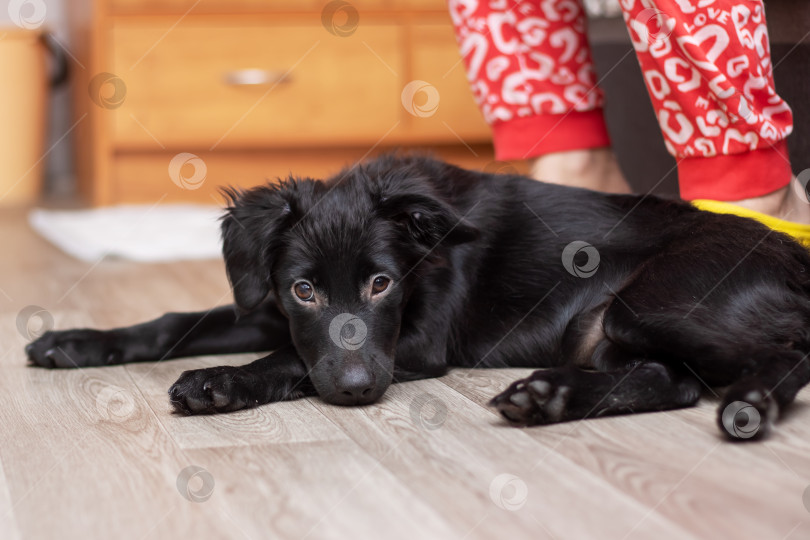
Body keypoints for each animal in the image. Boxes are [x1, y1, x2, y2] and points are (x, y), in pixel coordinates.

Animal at [23, 155, 808, 438]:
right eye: (304, 288)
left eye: (382, 283)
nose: (357, 390)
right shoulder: (269, 307)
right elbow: (178, 319)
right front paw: (77, 341)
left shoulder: (416, 344)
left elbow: (288, 361)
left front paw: (220, 382)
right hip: (615, 330)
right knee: (671, 381)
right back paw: (550, 396)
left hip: (650, 304)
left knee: (787, 351)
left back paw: (752, 403)